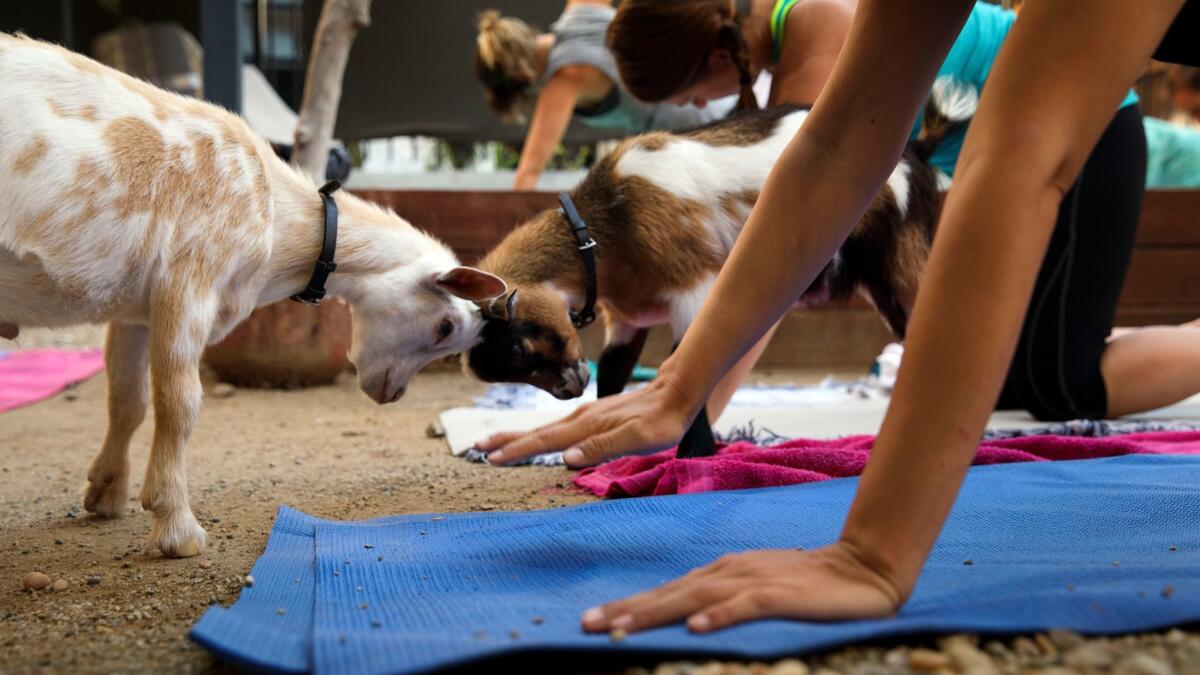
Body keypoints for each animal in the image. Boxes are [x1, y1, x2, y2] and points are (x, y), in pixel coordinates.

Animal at [0, 34, 504, 554]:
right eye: (445, 326)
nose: (392, 395)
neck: (280, 219)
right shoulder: (189, 284)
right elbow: (180, 403)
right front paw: (176, 527)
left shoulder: (135, 309)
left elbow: (127, 399)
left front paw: (106, 492)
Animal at [468, 81, 974, 454]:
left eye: (519, 349)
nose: (569, 390)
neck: (607, 221)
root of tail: (918, 149)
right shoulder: (628, 318)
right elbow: (614, 373)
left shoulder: (694, 288)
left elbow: (685, 363)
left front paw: (696, 457)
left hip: (902, 259)